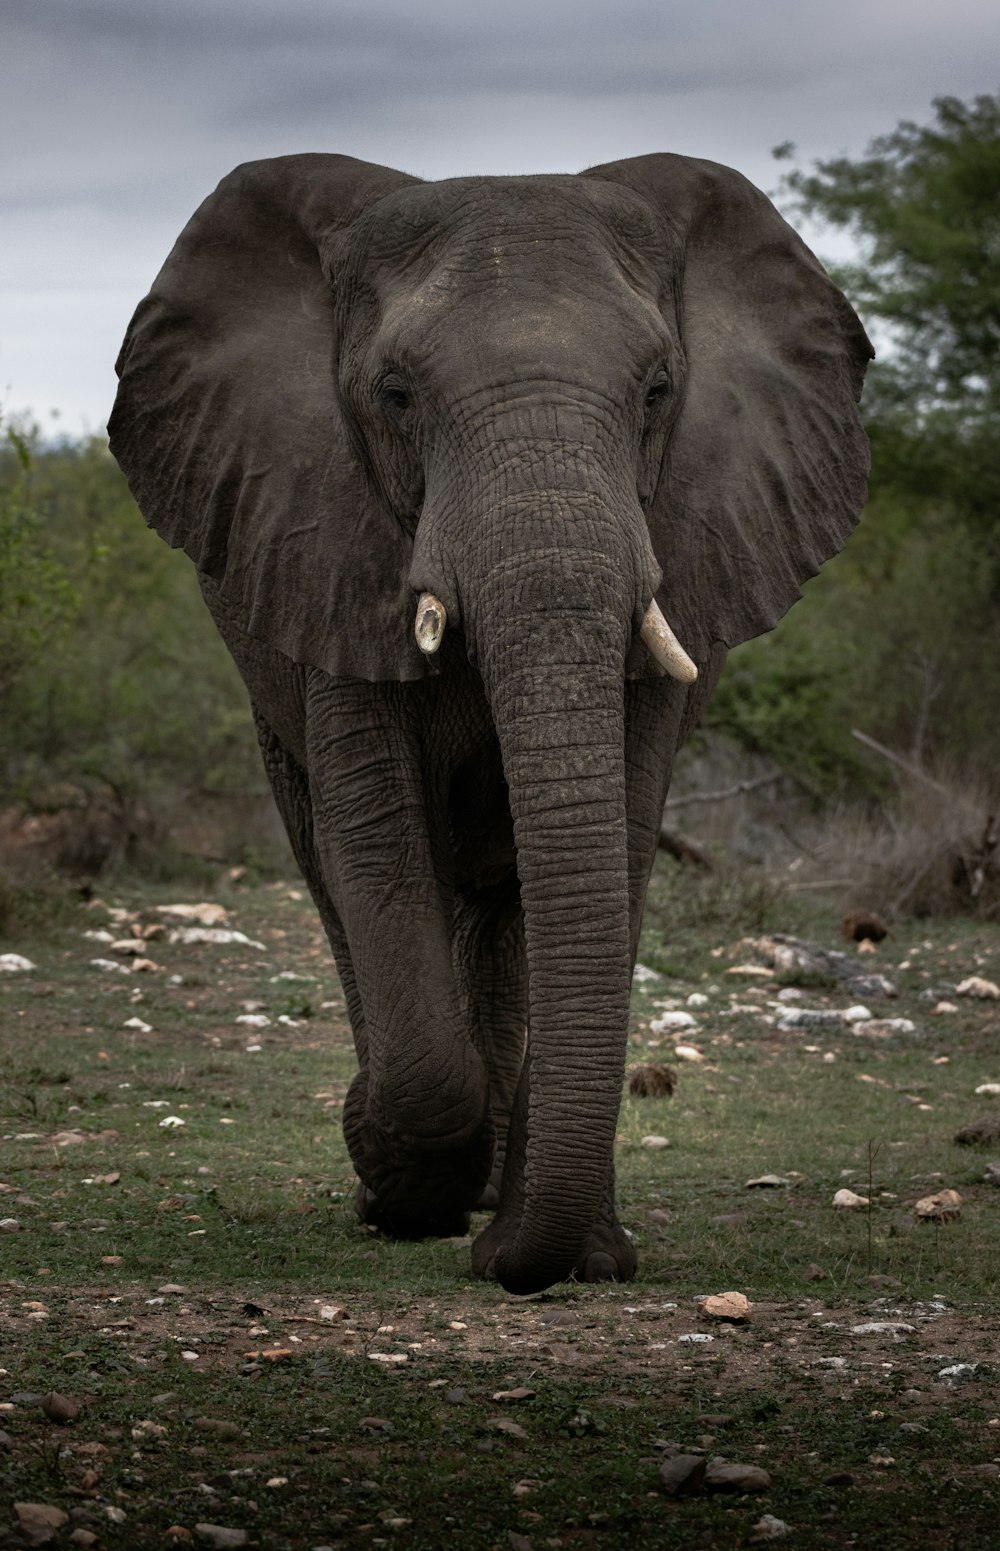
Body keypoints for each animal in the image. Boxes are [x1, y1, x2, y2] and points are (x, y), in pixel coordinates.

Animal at [109, 148, 868, 1296]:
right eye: (395, 394)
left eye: (657, 391)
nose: (512, 1263)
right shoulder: (332, 539)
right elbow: (376, 837)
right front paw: (398, 1182)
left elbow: (613, 840)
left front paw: (568, 1249)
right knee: (333, 865)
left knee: (506, 899)